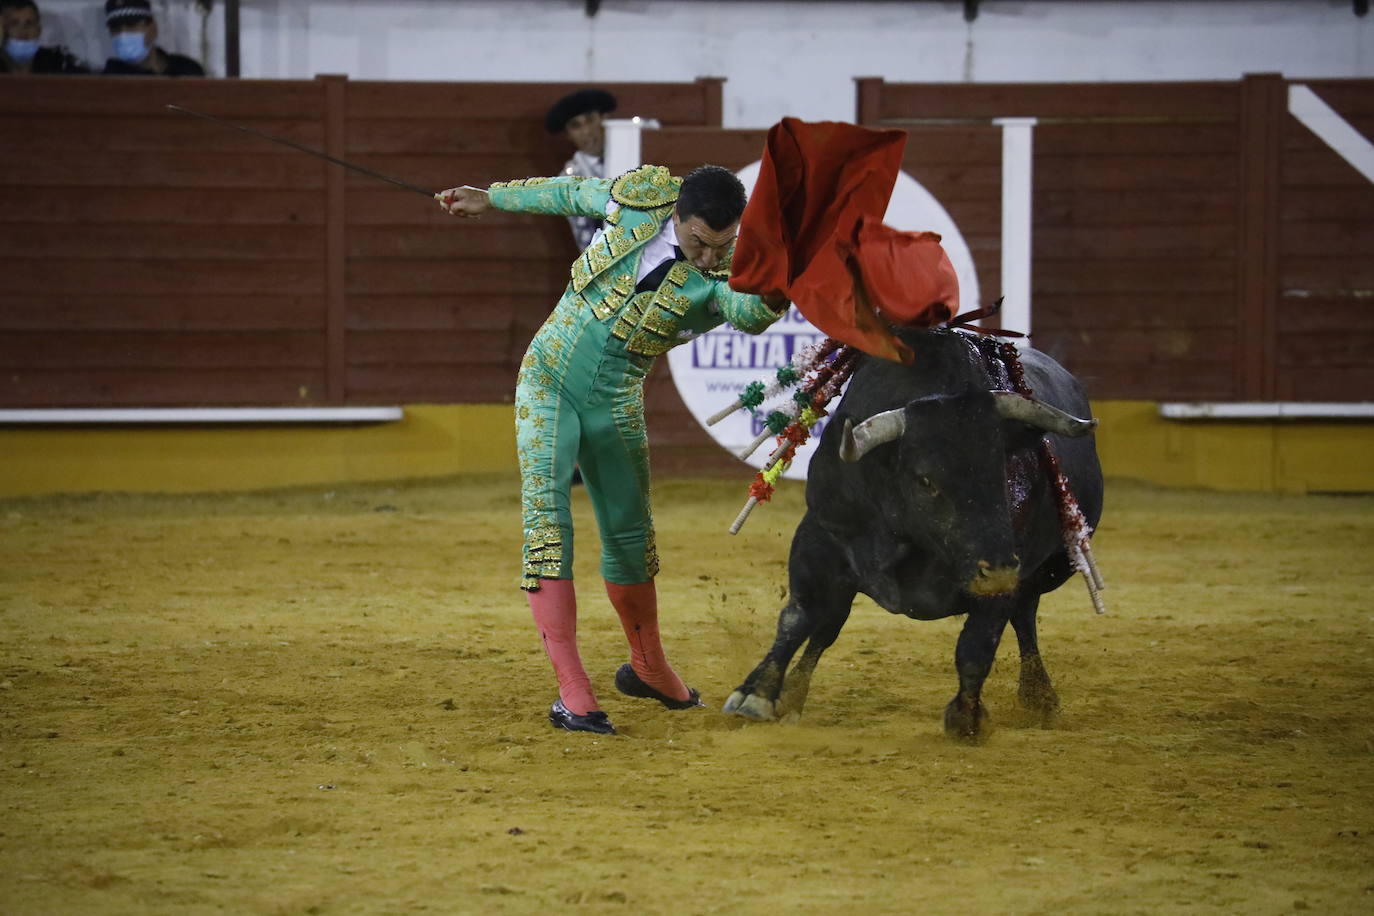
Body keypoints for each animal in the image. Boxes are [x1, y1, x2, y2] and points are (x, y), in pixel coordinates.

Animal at [725, 325, 1099, 741]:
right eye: (926, 481)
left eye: (1003, 467)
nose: (998, 571)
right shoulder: (819, 535)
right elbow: (798, 617)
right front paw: (756, 693)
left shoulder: (1010, 567)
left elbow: (977, 646)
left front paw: (966, 717)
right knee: (828, 626)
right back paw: (792, 694)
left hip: (1042, 570)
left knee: (1024, 619)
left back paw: (1040, 697)